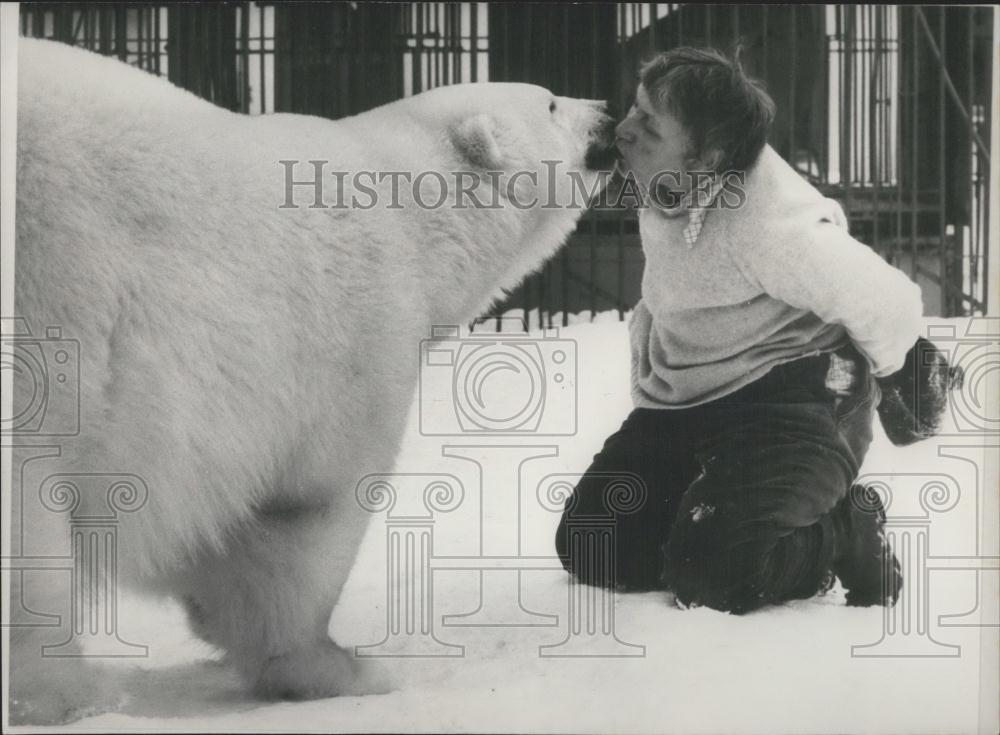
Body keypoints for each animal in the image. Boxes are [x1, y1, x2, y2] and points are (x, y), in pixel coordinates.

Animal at [7, 37, 616, 720]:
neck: (405, 207)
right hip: (59, 290)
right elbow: (306, 511)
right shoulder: (353, 338)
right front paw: (335, 666)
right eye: (551, 102)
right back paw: (68, 691)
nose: (609, 114)